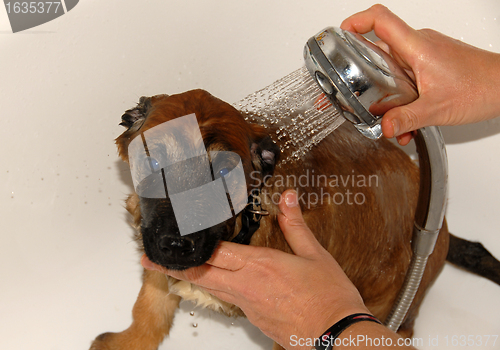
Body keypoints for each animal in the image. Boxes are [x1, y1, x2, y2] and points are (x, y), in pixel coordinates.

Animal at [91, 89, 500, 350]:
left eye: (224, 175)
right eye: (153, 162)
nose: (177, 244)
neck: (245, 227)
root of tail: (439, 226)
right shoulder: (157, 261)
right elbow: (148, 311)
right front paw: (126, 342)